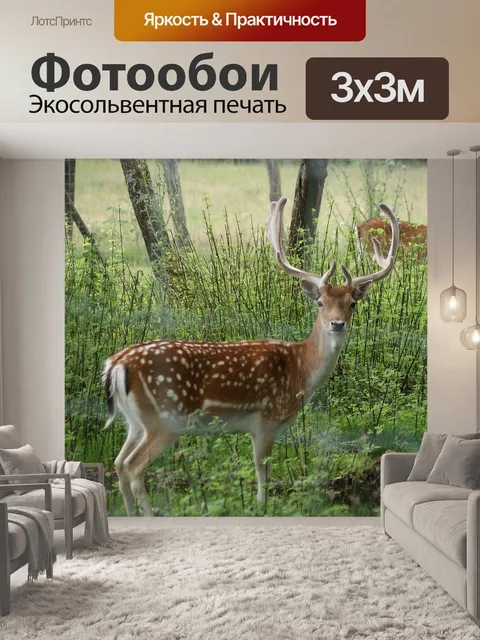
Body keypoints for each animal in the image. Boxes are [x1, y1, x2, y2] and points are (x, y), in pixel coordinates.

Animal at [102, 197, 400, 516]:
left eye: (352, 303)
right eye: (320, 302)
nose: (337, 324)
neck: (300, 370)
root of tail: (116, 365)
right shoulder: (265, 420)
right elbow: (262, 476)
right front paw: (261, 508)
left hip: (135, 421)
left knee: (118, 463)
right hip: (165, 418)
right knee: (133, 466)